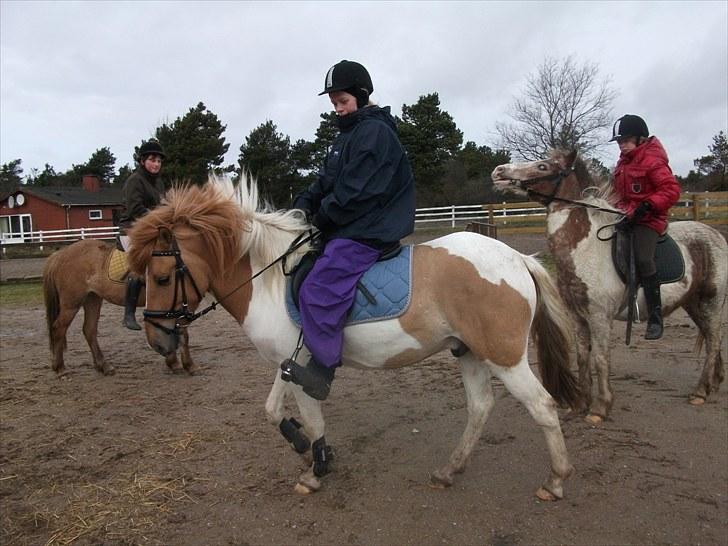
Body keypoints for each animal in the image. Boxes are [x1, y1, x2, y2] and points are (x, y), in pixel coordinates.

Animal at [43, 238, 196, 374]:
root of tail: (59, 254)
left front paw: (175, 362)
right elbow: (181, 332)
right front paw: (184, 364)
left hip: (92, 298)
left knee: (89, 330)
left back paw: (103, 366)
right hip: (72, 303)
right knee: (59, 328)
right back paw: (60, 368)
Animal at [125, 176, 580, 500]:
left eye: (161, 277)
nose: (157, 341)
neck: (268, 279)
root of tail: (516, 259)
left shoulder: (303, 365)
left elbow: (312, 416)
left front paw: (315, 469)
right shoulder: (290, 360)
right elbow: (272, 409)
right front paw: (300, 443)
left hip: (505, 357)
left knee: (542, 406)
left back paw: (556, 481)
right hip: (467, 351)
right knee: (481, 407)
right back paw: (448, 471)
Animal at [490, 148, 728, 420]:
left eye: (543, 166)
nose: (498, 171)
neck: (586, 247)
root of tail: (716, 235)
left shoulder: (599, 317)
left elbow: (600, 359)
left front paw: (599, 408)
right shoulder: (578, 317)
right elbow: (582, 358)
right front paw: (580, 404)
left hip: (711, 301)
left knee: (713, 340)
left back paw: (700, 392)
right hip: (694, 304)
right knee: (711, 338)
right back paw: (713, 384)